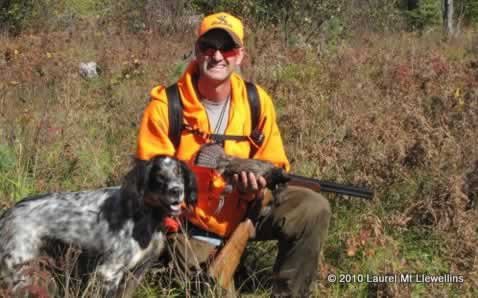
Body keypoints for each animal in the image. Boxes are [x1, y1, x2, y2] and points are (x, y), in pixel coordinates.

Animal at [0, 157, 197, 296]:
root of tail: (9, 213)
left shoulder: (137, 273)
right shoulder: (108, 273)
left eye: (179, 173)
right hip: (20, 276)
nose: (177, 190)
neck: (146, 213)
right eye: (159, 175)